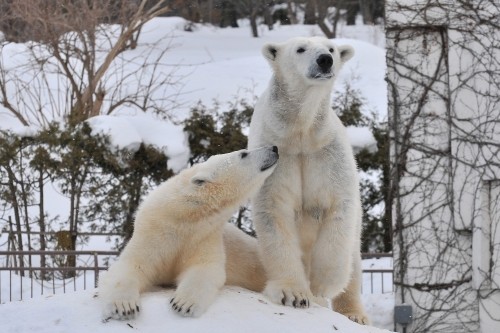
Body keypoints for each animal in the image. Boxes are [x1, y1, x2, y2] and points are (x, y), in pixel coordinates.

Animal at [97, 145, 278, 316]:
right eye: (243, 154)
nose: (274, 148)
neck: (183, 215)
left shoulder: (204, 235)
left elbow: (205, 268)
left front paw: (183, 304)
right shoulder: (152, 232)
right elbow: (131, 265)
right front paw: (123, 306)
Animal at [248, 37, 370, 324]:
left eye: (332, 48)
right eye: (300, 49)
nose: (325, 60)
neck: (301, 133)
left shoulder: (328, 155)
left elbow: (338, 210)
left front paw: (322, 284)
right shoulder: (276, 157)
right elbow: (274, 214)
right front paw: (293, 293)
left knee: (353, 259)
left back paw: (354, 314)